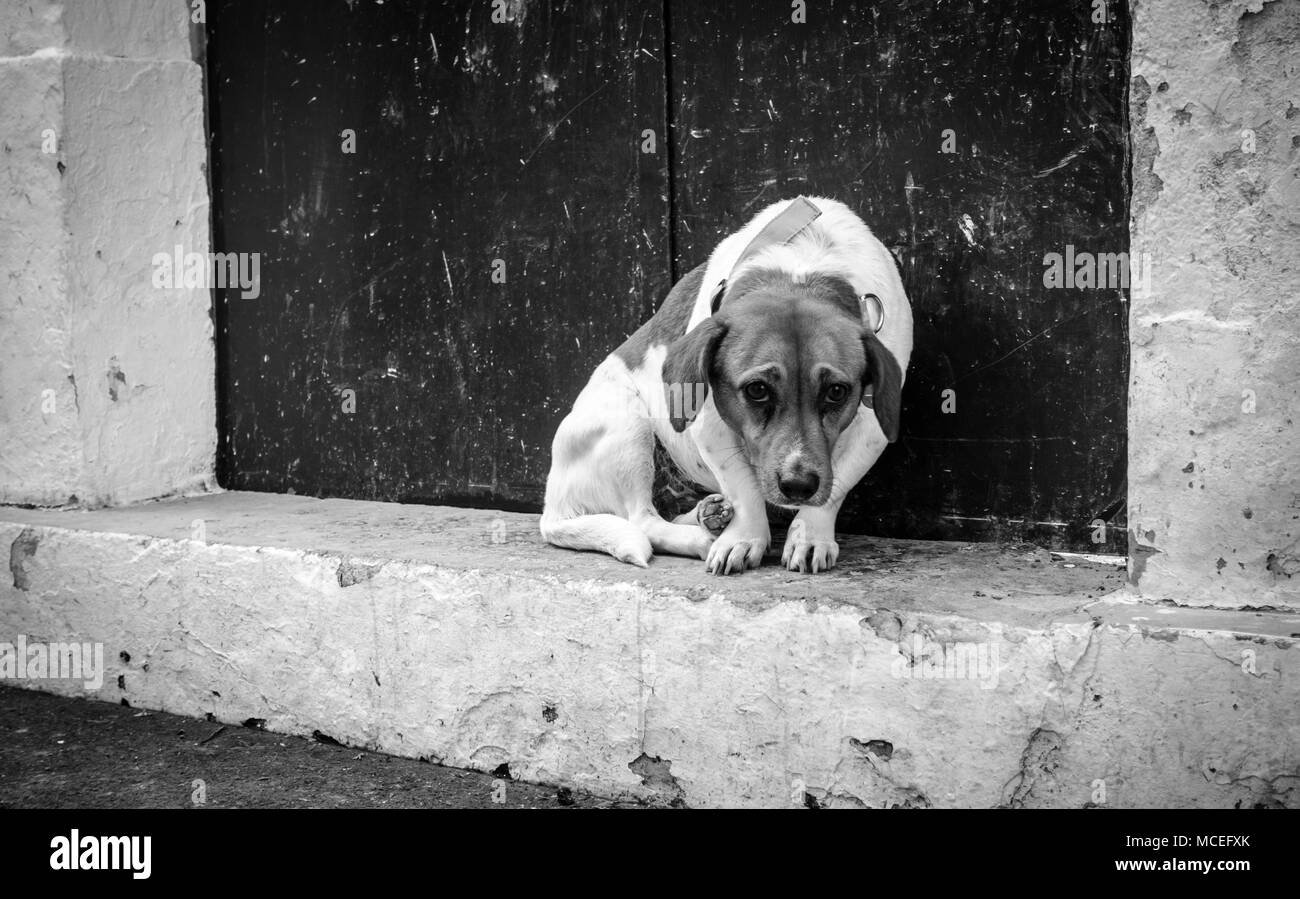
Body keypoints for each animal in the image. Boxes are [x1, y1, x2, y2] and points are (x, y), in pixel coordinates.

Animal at [543, 196, 909, 576]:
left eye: (836, 392)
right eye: (757, 390)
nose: (797, 486)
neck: (800, 269)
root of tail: (552, 514)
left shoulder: (870, 432)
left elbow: (833, 491)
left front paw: (811, 535)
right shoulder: (709, 423)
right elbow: (743, 489)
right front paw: (744, 539)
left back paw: (708, 516)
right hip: (626, 425)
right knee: (642, 520)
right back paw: (701, 537)